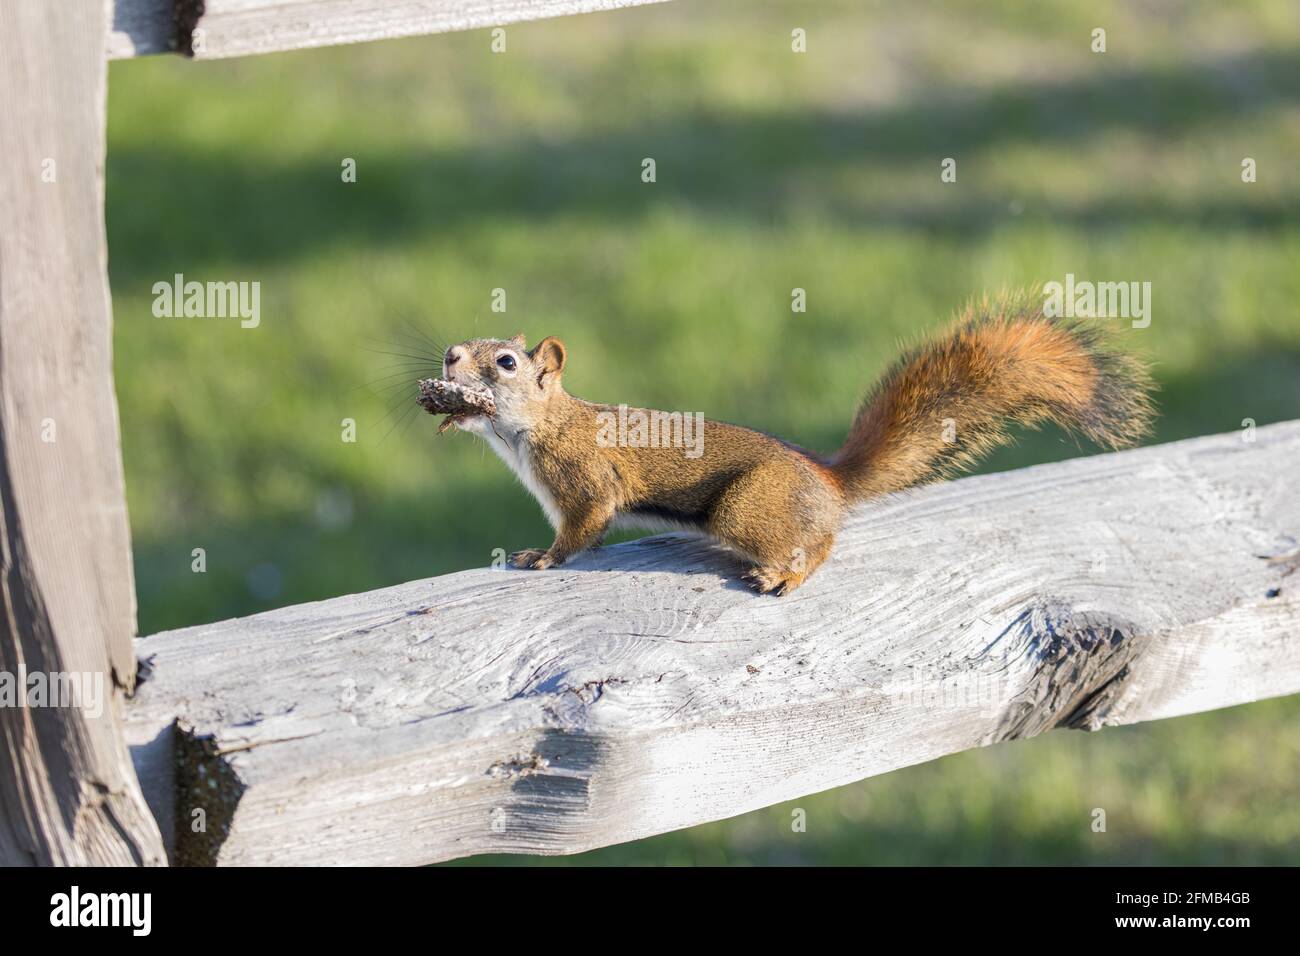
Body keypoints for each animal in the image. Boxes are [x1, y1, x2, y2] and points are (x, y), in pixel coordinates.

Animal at [431, 293, 1154, 590]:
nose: (447, 357)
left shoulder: (582, 479)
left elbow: (583, 528)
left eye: (506, 364)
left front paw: (542, 558)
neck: (534, 429)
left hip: (747, 507)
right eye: (467, 348)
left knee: (821, 542)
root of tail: (827, 479)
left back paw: (784, 573)